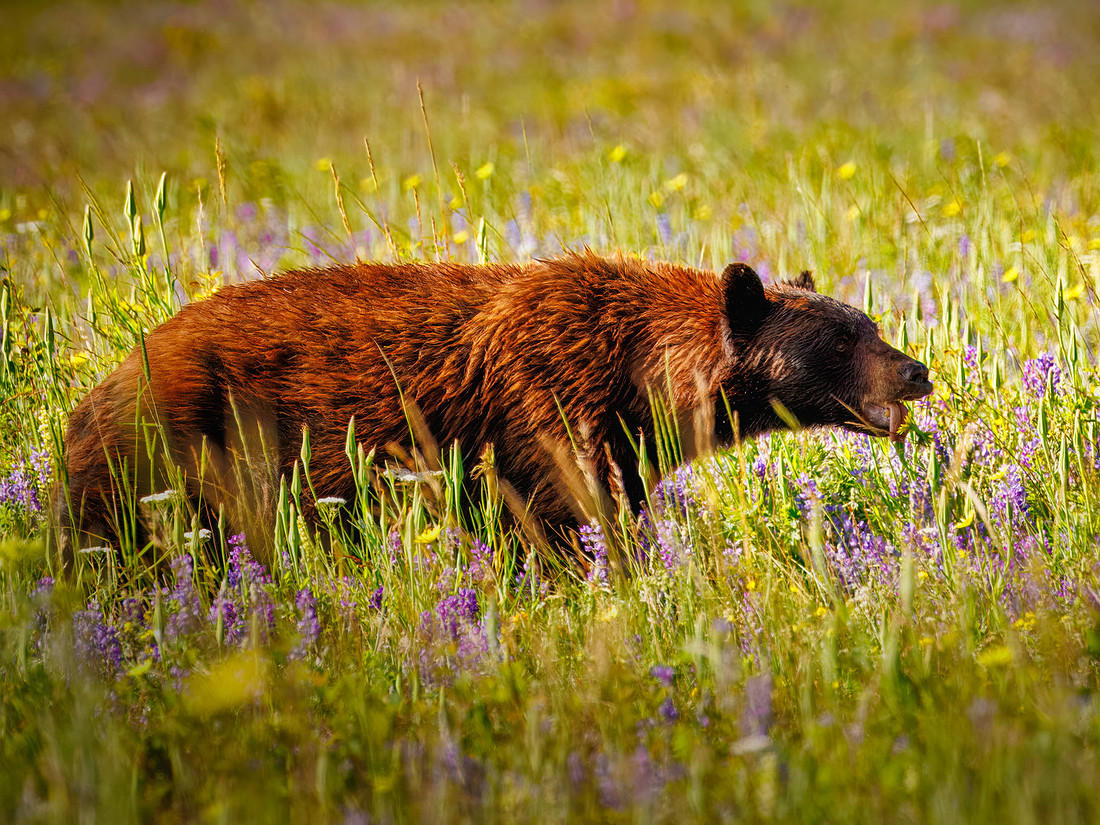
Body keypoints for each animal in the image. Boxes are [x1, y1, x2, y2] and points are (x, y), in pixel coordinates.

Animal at [58, 251, 932, 563]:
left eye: (870, 323)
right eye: (844, 338)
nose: (917, 371)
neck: (638, 369)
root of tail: (103, 382)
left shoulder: (618, 436)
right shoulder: (547, 403)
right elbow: (561, 516)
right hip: (167, 457)